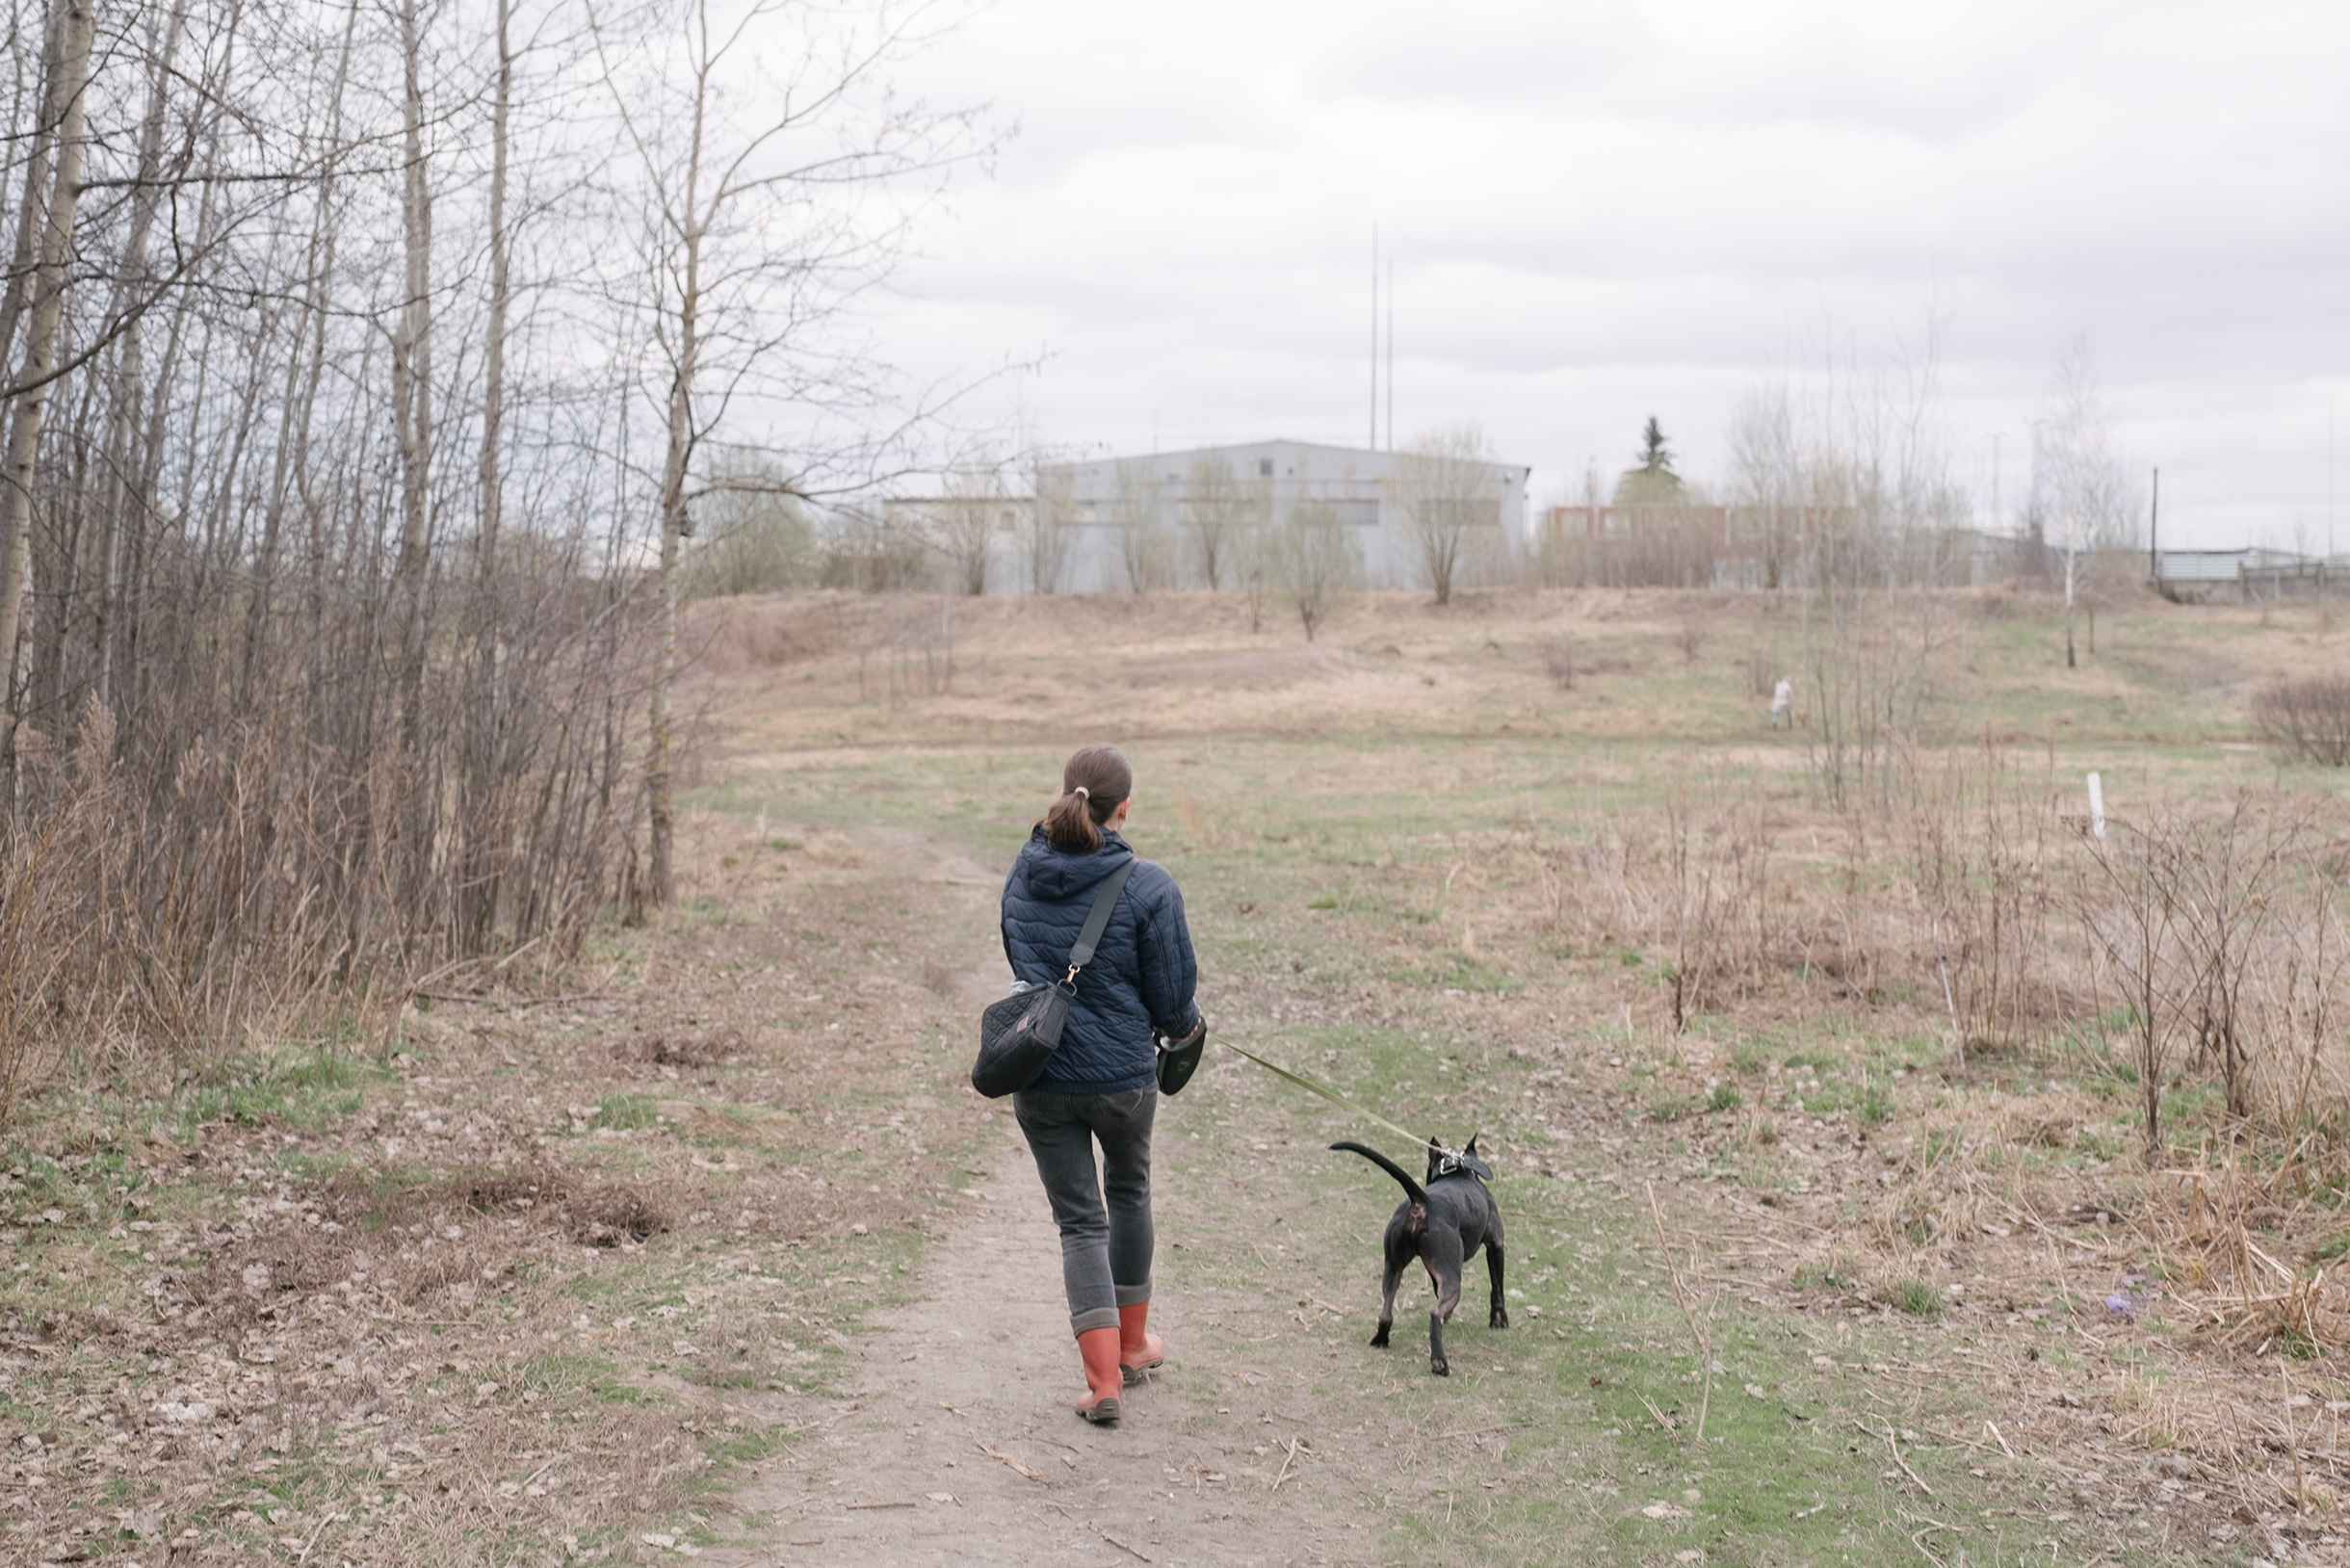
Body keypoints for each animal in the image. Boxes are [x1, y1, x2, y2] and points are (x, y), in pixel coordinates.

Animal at [1325, 1142, 1503, 1372]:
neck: (1457, 1172)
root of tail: (1423, 1202)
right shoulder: (1496, 1245)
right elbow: (1497, 1288)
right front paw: (1499, 1320)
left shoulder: (1434, 1269)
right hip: (1452, 1278)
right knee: (1435, 1313)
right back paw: (1439, 1363)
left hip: (1393, 1267)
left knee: (1386, 1313)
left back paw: (1381, 1340)